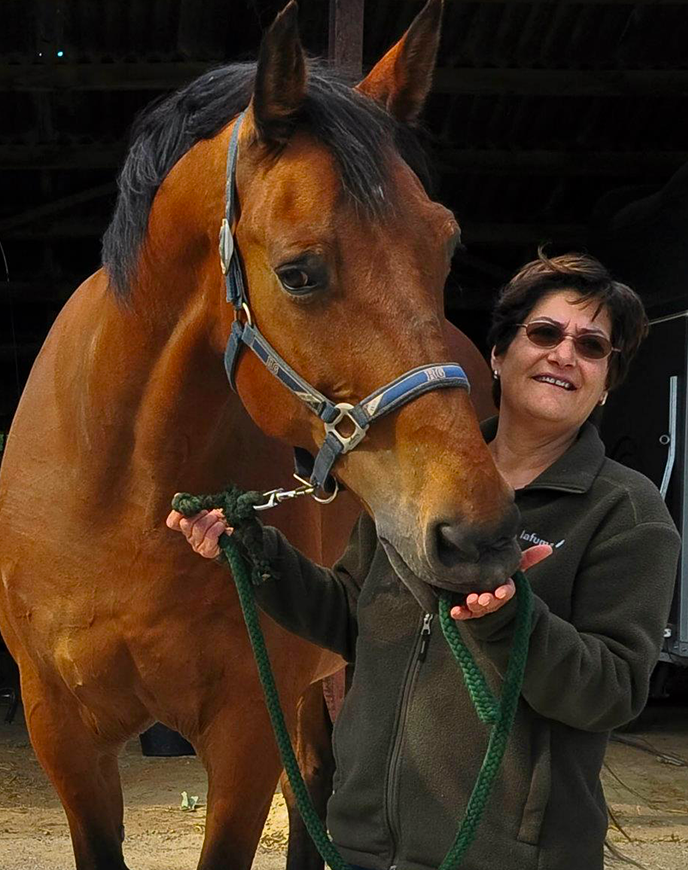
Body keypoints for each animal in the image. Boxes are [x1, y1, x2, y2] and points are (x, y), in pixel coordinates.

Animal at [0, 2, 519, 868]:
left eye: (443, 244)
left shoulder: (244, 735)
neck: (116, 495)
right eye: (298, 272)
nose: (480, 536)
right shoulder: (63, 735)